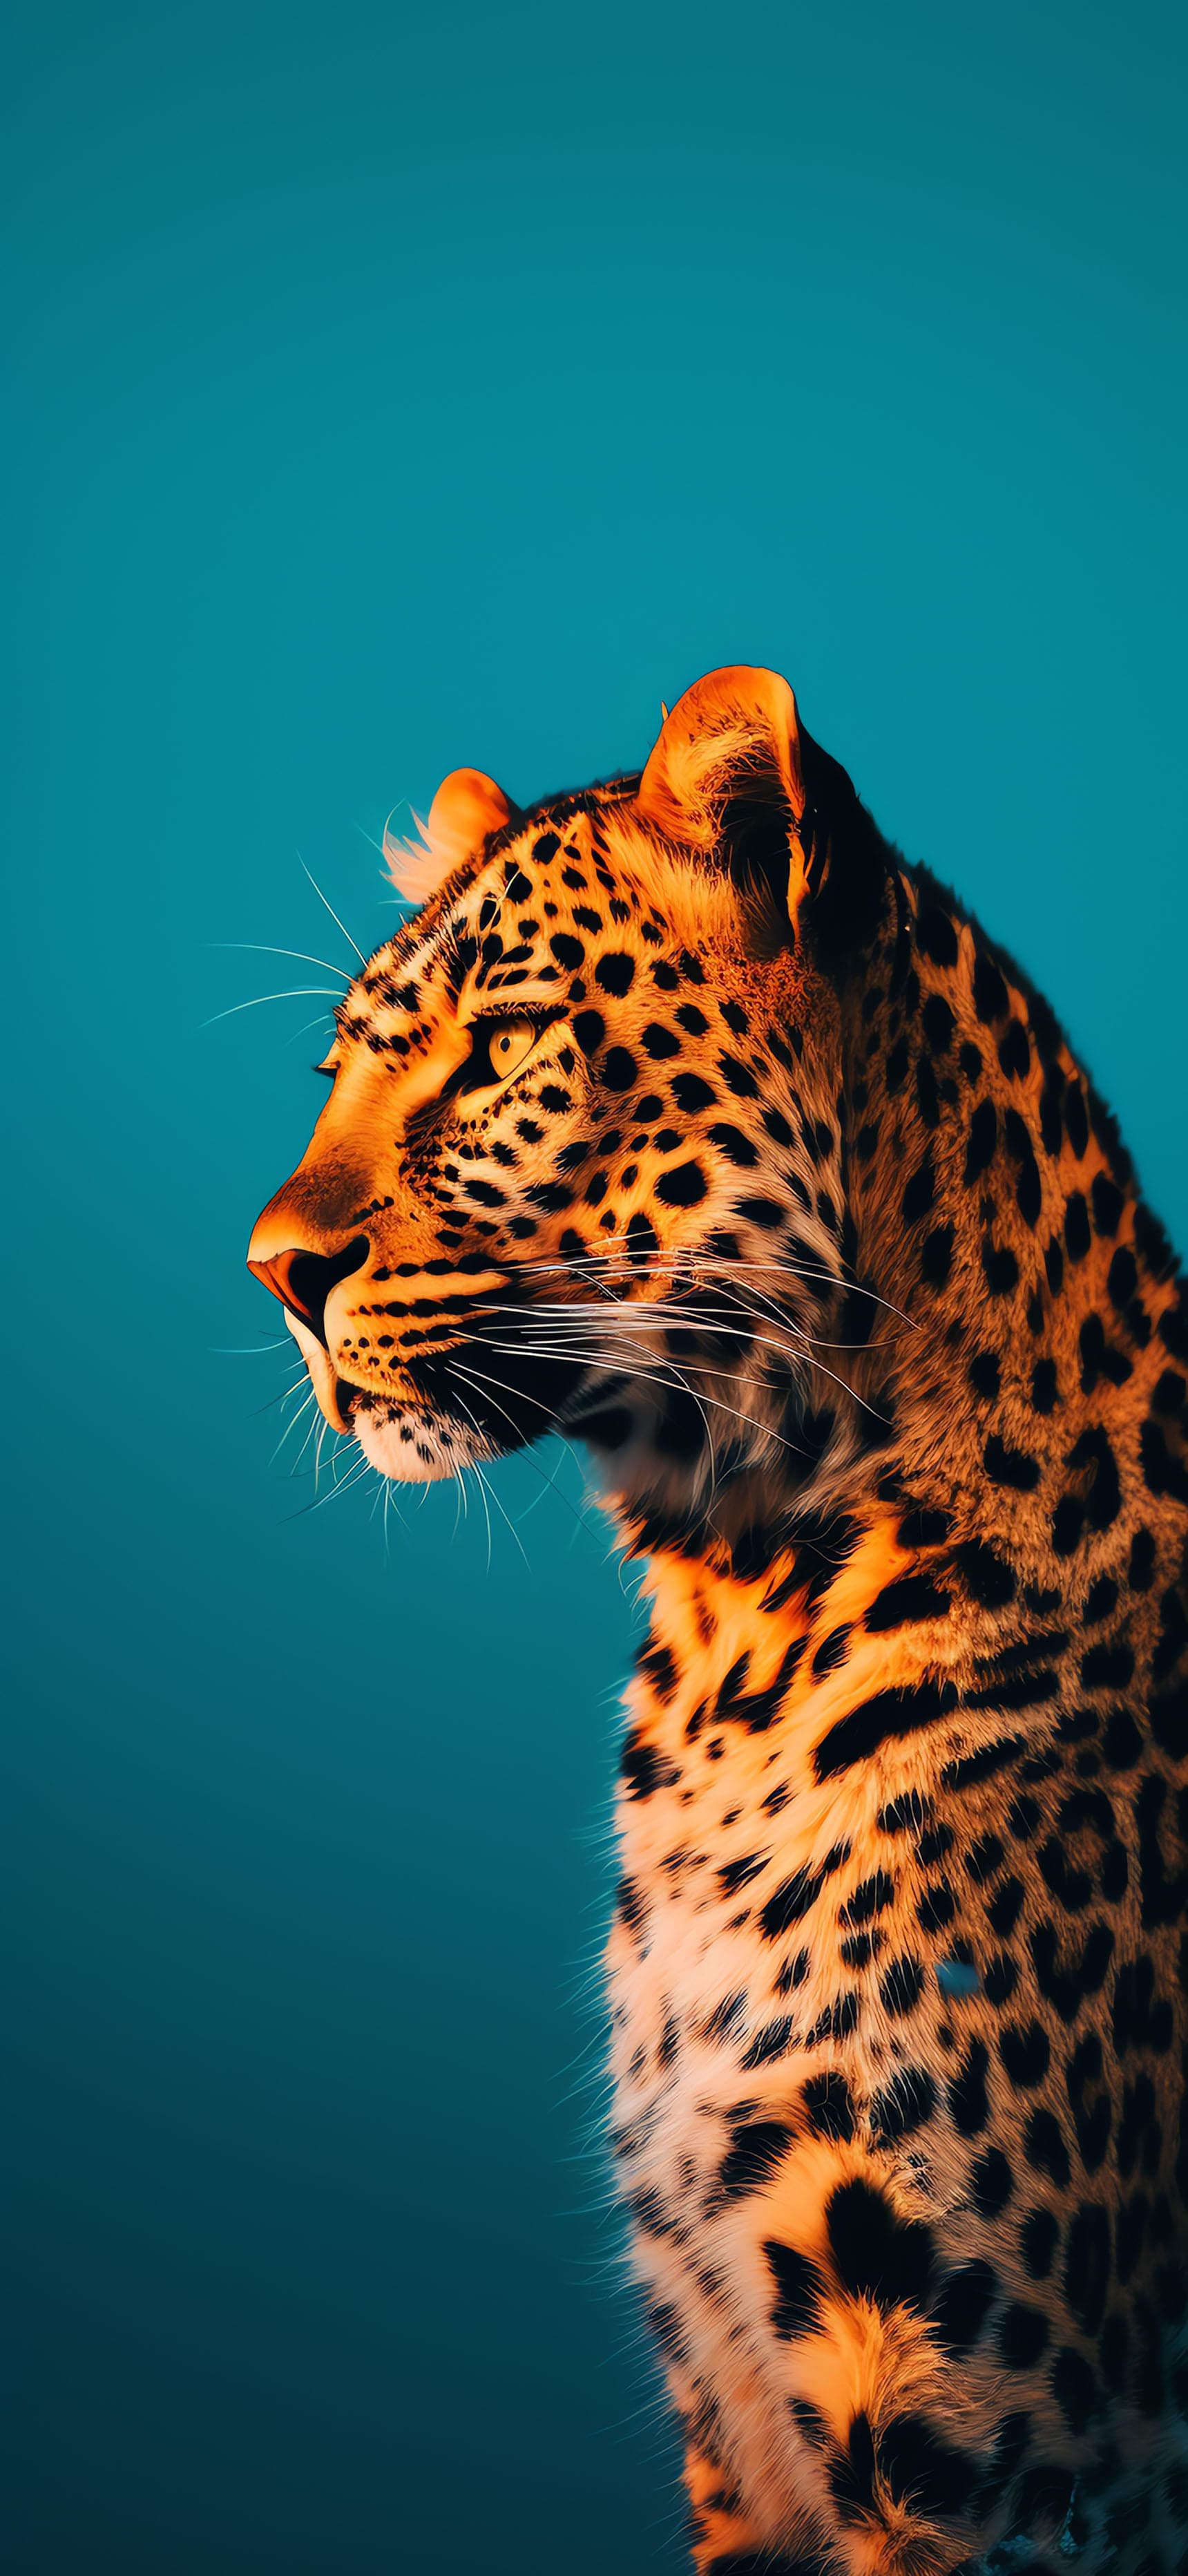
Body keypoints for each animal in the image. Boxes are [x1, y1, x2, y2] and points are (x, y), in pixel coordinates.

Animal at [248, 667, 1188, 2576]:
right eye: (341, 1068)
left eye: (502, 1044)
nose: (270, 1270)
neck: (729, 1617)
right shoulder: (734, 2411)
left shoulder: (997, 2447)